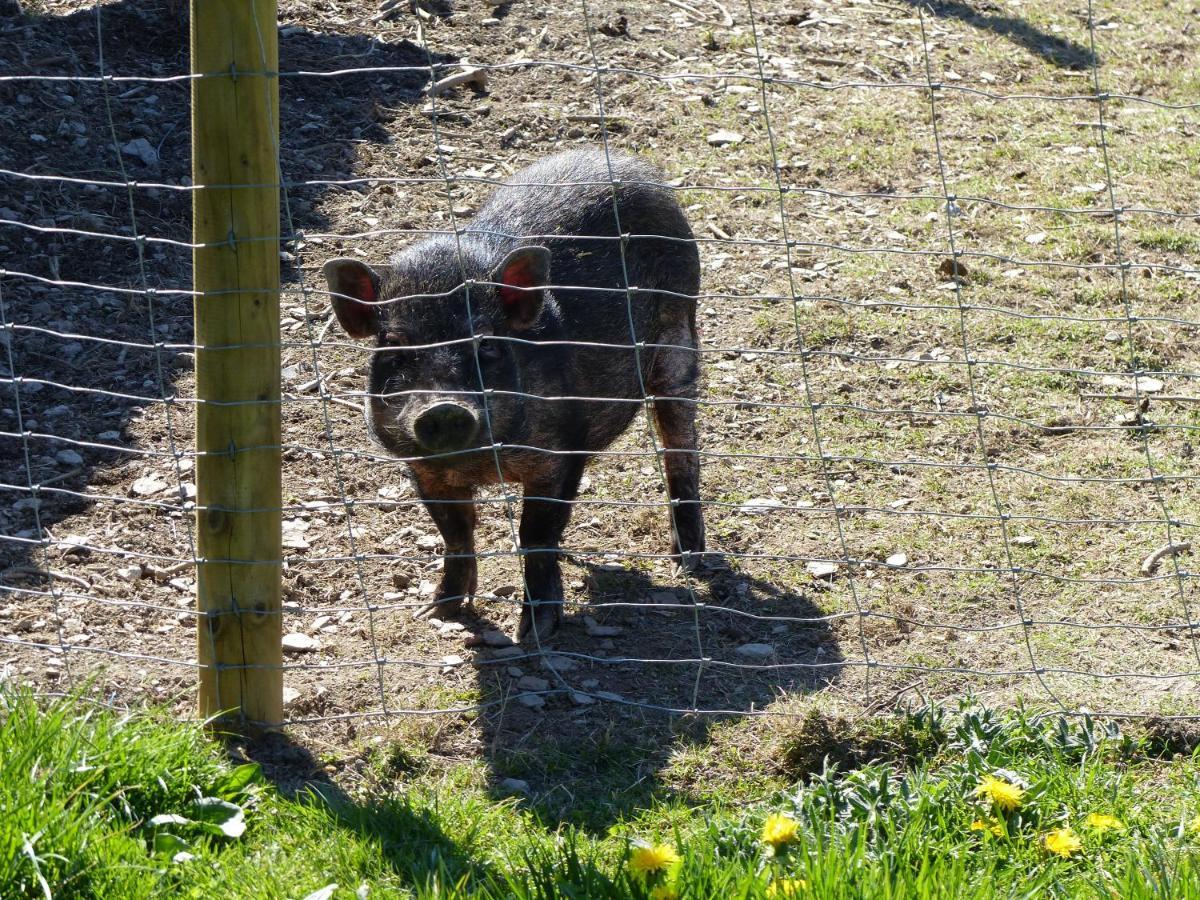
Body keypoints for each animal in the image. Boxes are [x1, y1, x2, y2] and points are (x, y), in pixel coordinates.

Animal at [324, 150, 705, 643]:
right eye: (395, 345)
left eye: (486, 343)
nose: (443, 407)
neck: (482, 465)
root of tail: (631, 165)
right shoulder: (422, 469)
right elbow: (456, 534)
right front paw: (438, 612)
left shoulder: (558, 455)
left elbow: (535, 537)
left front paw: (535, 631)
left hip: (679, 343)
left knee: (681, 449)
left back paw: (687, 560)